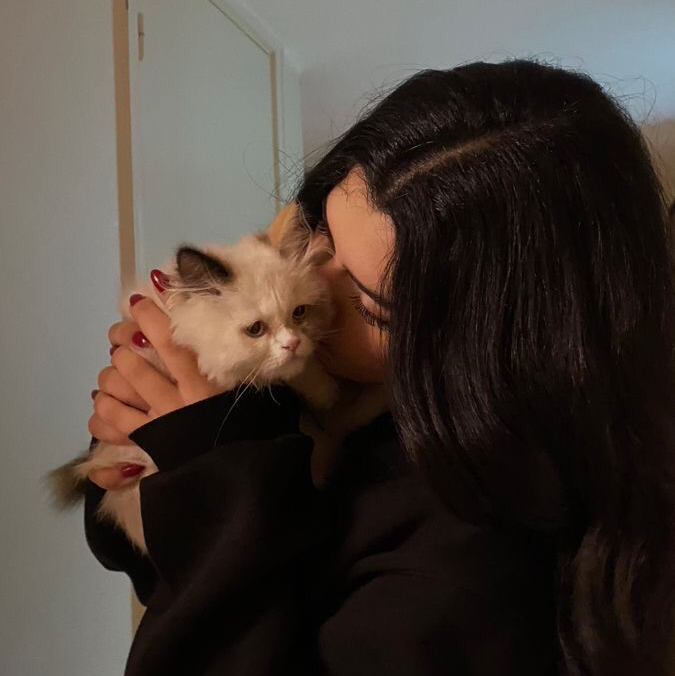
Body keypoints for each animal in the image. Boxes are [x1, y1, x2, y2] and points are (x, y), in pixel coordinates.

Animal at [47, 227, 342, 554]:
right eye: (255, 330)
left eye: (299, 313)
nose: (292, 344)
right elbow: (271, 375)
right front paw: (326, 393)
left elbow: (301, 371)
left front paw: (325, 392)